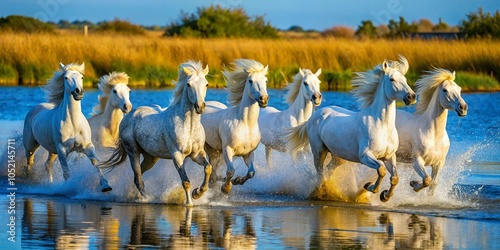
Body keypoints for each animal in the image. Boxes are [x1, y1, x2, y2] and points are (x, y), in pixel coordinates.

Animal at [99, 60, 211, 205]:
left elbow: (208, 168)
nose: (200, 106)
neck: (189, 127)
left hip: (151, 158)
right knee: (138, 178)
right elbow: (186, 182)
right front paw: (189, 203)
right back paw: (146, 199)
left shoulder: (196, 154)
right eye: (188, 84)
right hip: (133, 151)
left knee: (138, 175)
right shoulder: (177, 156)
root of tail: (128, 116)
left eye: (206, 84)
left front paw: (198, 193)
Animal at [200, 59, 268, 195]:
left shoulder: (248, 153)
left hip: (214, 151)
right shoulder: (228, 150)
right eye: (250, 81)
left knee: (214, 173)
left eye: (266, 80)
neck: (246, 124)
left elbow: (251, 172)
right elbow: (231, 171)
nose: (263, 99)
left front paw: (237, 181)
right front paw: (226, 188)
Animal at [288, 56, 416, 201]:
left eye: (405, 79)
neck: (382, 126)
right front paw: (370, 187)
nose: (411, 97)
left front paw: (384, 196)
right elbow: (381, 170)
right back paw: (322, 192)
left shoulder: (389, 156)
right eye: (392, 79)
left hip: (338, 157)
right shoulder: (365, 156)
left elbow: (395, 178)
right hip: (319, 151)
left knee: (328, 170)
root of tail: (314, 116)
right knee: (320, 173)